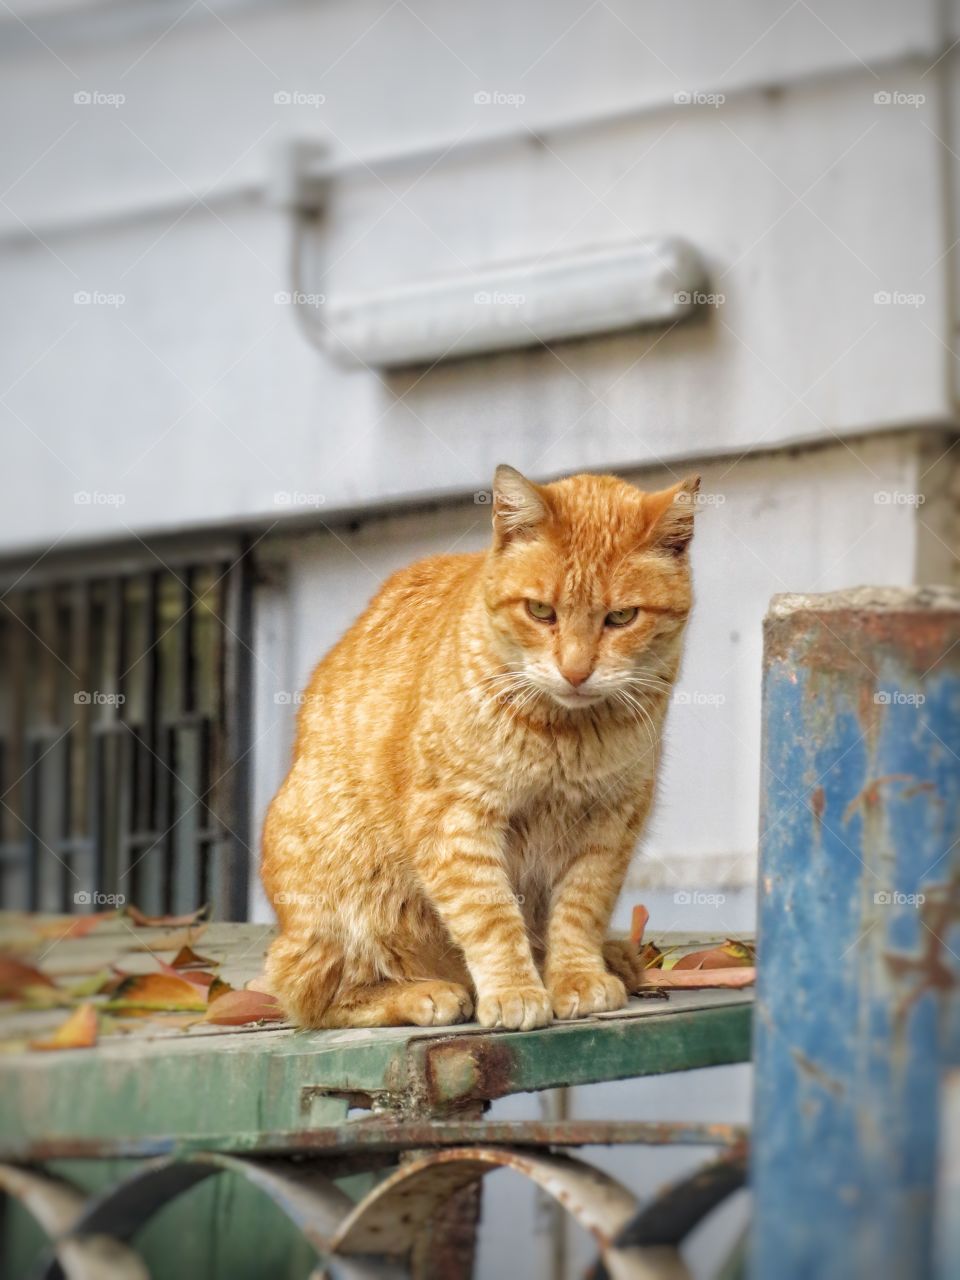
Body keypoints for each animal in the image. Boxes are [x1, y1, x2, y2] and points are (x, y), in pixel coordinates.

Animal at [263, 468, 701, 1029]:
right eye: (541, 611)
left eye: (622, 617)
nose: (575, 671)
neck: (567, 736)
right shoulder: (456, 817)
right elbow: (491, 916)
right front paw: (515, 990)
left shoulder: (609, 824)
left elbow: (580, 909)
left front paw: (576, 976)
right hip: (346, 892)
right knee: (319, 995)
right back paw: (427, 994)